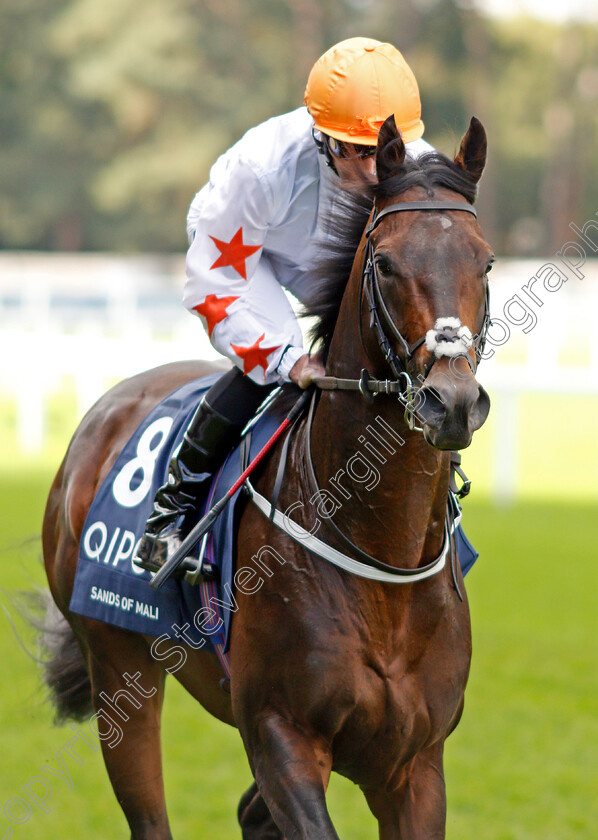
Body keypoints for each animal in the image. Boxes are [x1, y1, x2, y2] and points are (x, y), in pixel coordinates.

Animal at [41, 113, 492, 840]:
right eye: (386, 261)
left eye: (485, 260)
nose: (449, 402)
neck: (381, 562)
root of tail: (105, 412)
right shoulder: (282, 734)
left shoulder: (414, 763)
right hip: (116, 666)